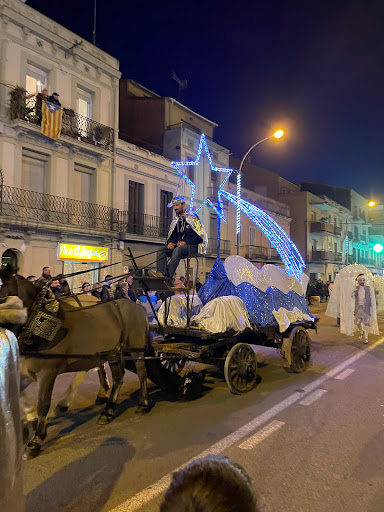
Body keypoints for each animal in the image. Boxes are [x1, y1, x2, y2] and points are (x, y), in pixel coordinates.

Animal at [0, 266, 152, 458]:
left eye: (3, 298)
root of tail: (137, 306)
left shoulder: (47, 373)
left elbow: (43, 403)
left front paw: (36, 440)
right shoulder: (25, 372)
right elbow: (20, 397)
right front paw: (29, 420)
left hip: (136, 350)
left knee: (142, 373)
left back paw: (143, 404)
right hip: (113, 353)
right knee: (118, 377)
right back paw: (108, 411)